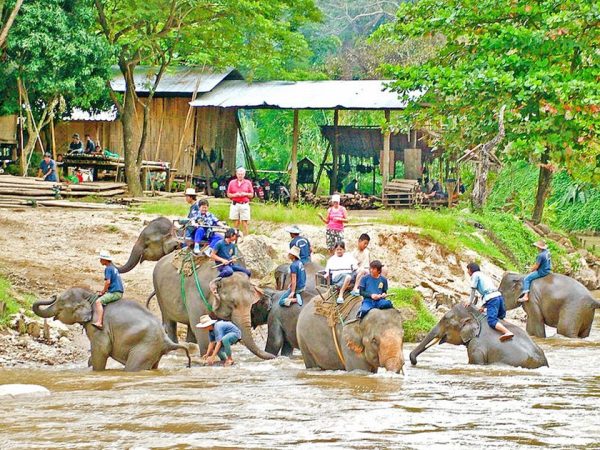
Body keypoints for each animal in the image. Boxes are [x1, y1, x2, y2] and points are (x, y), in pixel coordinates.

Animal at [32, 287, 191, 371]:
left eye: (60, 306)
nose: (53, 295)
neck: (90, 296)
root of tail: (166, 340)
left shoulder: (98, 327)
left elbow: (101, 350)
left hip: (145, 347)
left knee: (132, 367)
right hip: (154, 350)